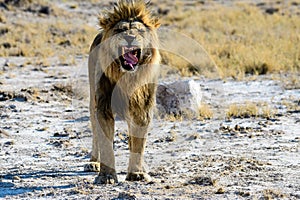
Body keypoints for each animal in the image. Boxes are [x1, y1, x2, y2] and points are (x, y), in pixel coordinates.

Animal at [86, 0, 162, 184]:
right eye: (120, 30)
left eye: (139, 30)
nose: (129, 37)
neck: (127, 78)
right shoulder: (104, 106)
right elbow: (106, 144)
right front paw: (106, 176)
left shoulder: (142, 108)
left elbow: (138, 142)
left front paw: (137, 173)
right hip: (92, 100)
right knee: (95, 132)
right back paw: (93, 162)